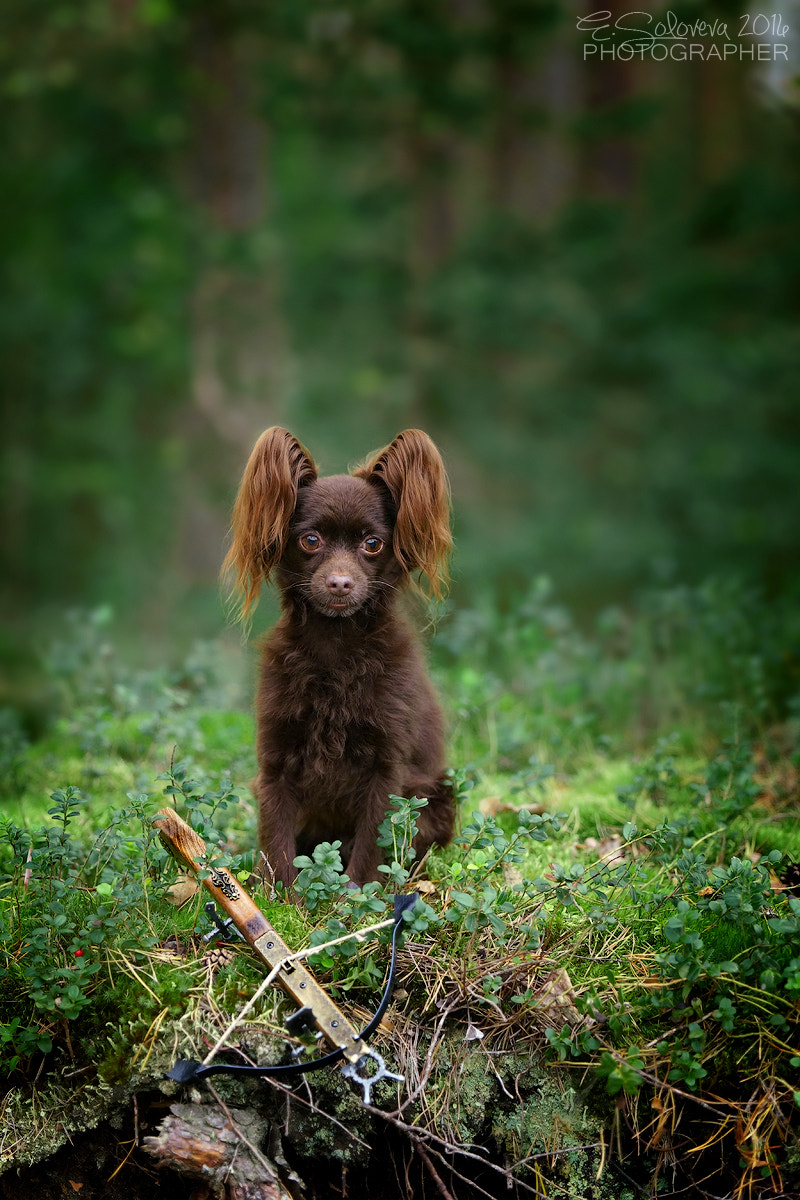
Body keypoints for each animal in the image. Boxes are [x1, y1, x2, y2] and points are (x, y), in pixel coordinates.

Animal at [221, 427, 453, 888]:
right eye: (311, 540)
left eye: (372, 544)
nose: (341, 582)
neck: (336, 645)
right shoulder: (275, 762)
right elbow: (276, 840)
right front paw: (281, 897)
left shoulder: (388, 768)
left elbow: (373, 845)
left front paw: (356, 899)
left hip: (437, 798)